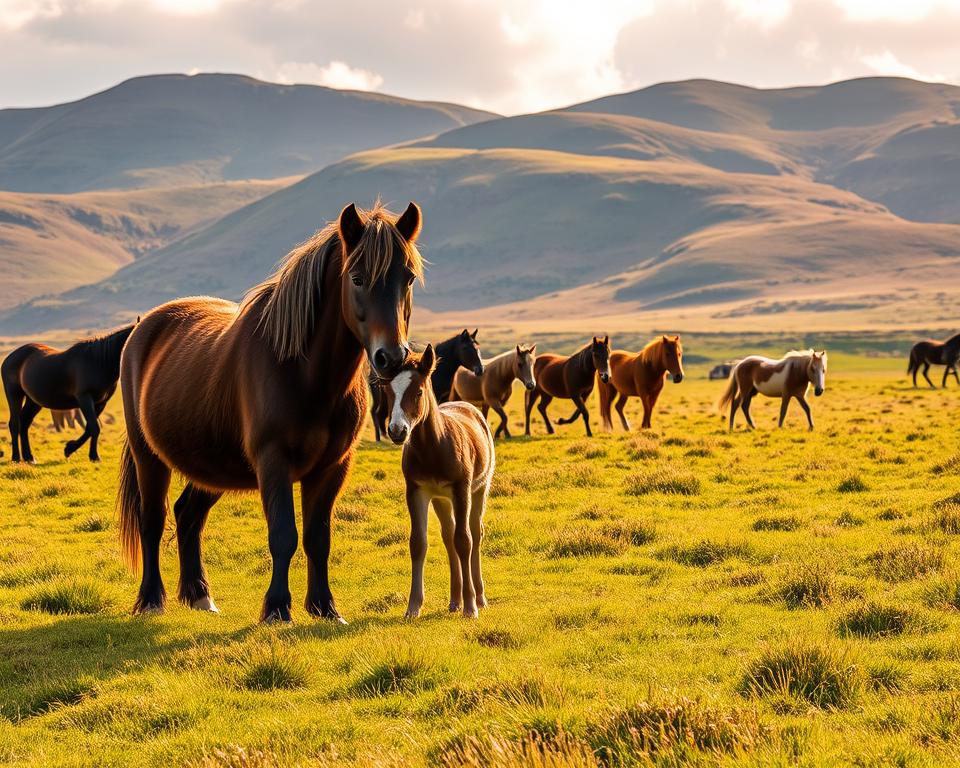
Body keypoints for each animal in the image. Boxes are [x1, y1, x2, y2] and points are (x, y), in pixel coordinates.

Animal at [2, 324, 135, 463]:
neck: (99, 363)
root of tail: (9, 357)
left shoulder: (101, 403)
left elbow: (90, 427)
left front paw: (70, 448)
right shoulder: (84, 398)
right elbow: (94, 427)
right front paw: (93, 456)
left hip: (33, 401)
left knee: (24, 422)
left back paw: (29, 457)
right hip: (14, 394)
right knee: (14, 423)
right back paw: (16, 457)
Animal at [117, 201, 424, 622]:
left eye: (407, 279)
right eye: (358, 278)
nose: (391, 358)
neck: (304, 373)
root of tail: (143, 327)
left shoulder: (332, 467)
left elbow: (318, 538)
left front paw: (324, 607)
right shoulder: (272, 461)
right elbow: (284, 536)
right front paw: (277, 608)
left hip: (212, 465)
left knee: (188, 515)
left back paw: (200, 596)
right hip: (149, 456)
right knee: (152, 520)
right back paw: (150, 600)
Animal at [383, 344, 494, 619]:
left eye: (419, 391)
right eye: (388, 391)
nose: (397, 430)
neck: (433, 447)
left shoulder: (461, 490)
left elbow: (464, 540)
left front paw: (470, 607)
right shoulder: (417, 491)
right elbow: (418, 543)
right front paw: (413, 607)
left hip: (479, 489)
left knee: (474, 532)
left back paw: (478, 597)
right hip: (441, 499)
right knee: (448, 535)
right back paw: (454, 601)